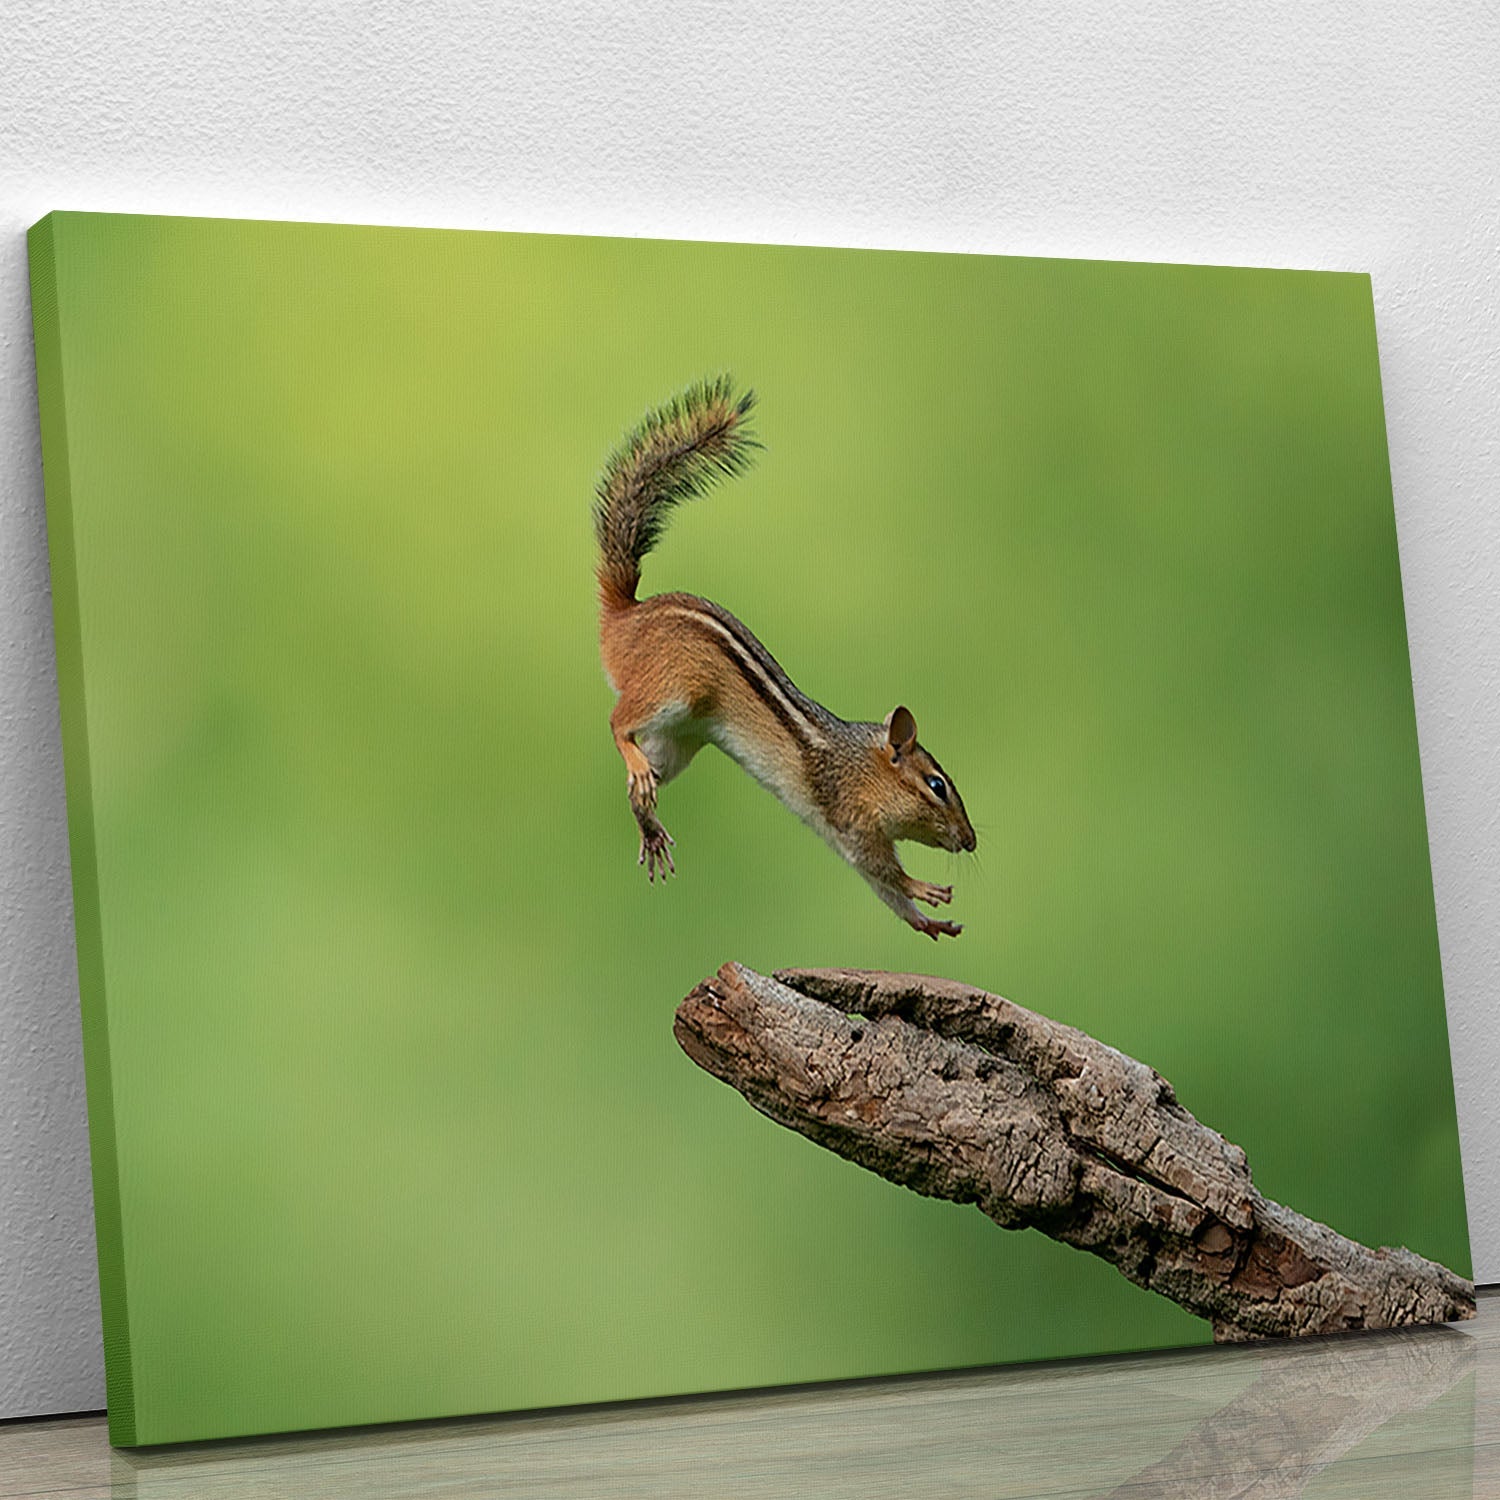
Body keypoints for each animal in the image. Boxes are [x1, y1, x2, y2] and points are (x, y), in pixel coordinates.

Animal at [594, 376, 977, 940]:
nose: (971, 841)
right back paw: (632, 760)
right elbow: (883, 868)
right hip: (670, 690)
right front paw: (925, 890)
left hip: (678, 742)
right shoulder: (852, 819)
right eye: (937, 785)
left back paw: (650, 826)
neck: (862, 764)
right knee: (618, 722)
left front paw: (927, 922)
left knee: (638, 784)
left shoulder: (850, 838)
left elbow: (882, 887)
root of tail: (626, 613)